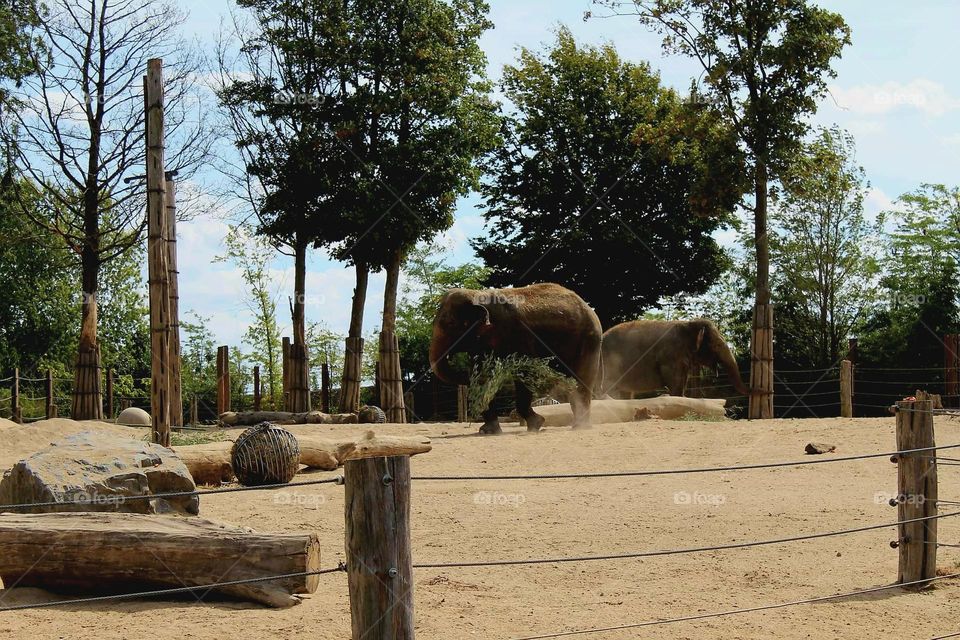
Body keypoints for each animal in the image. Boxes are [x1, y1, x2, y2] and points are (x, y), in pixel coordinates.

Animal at [429, 283, 602, 434]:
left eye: (450, 324)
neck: (477, 294)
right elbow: (483, 373)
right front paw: (488, 431)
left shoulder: (518, 334)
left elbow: (524, 371)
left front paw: (536, 425)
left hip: (589, 340)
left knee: (581, 380)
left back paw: (580, 427)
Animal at [599, 319, 750, 399]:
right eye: (717, 345)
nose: (754, 388)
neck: (689, 323)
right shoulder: (670, 356)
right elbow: (675, 383)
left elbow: (681, 383)